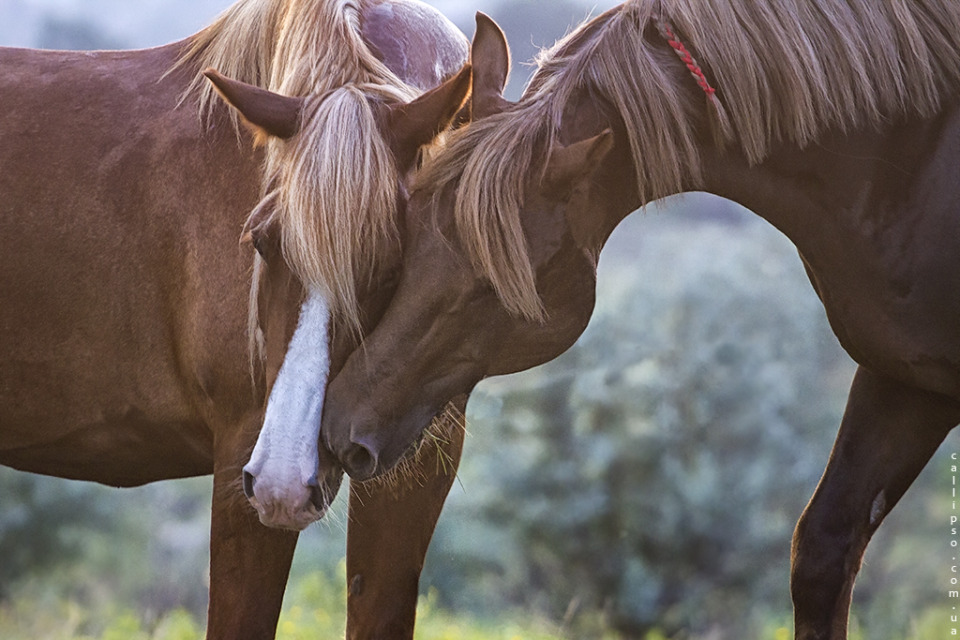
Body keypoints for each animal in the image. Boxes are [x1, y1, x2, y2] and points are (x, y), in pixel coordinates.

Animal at [318, 2, 960, 636]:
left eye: (489, 285)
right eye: (409, 229)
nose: (341, 427)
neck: (903, 163)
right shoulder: (900, 377)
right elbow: (826, 549)